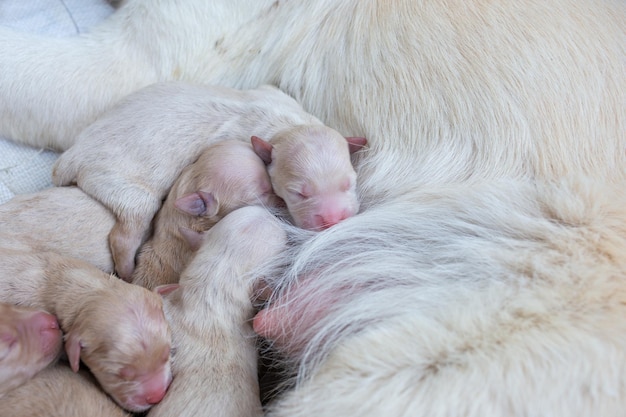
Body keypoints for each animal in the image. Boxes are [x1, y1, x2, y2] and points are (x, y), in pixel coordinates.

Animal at [53, 80, 322, 280]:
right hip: (125, 187)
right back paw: (127, 270)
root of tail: (70, 158)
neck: (283, 124)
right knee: (126, 232)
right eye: (295, 193)